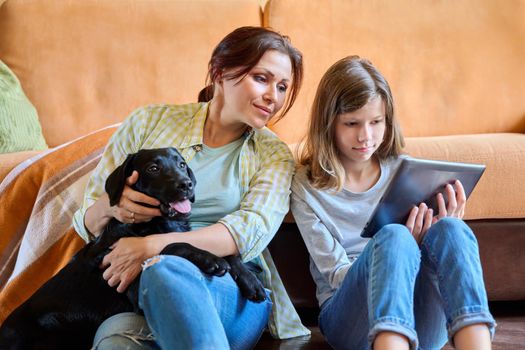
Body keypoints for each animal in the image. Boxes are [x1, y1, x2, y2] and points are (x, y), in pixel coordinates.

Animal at [0, 148, 264, 350]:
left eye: (181, 164)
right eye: (153, 168)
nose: (186, 184)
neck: (157, 223)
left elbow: (227, 250)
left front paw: (249, 278)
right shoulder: (135, 288)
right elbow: (170, 244)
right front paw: (210, 260)